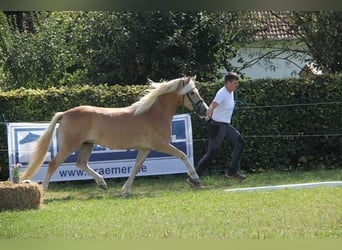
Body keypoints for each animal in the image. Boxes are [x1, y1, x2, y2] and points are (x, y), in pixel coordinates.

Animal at [22, 75, 208, 193]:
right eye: (192, 92)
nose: (205, 110)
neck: (153, 113)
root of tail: (65, 114)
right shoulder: (160, 145)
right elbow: (183, 155)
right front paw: (195, 179)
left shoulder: (145, 149)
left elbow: (136, 168)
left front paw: (126, 189)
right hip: (70, 146)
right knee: (53, 164)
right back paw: (43, 191)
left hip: (87, 145)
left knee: (81, 163)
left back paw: (102, 184)